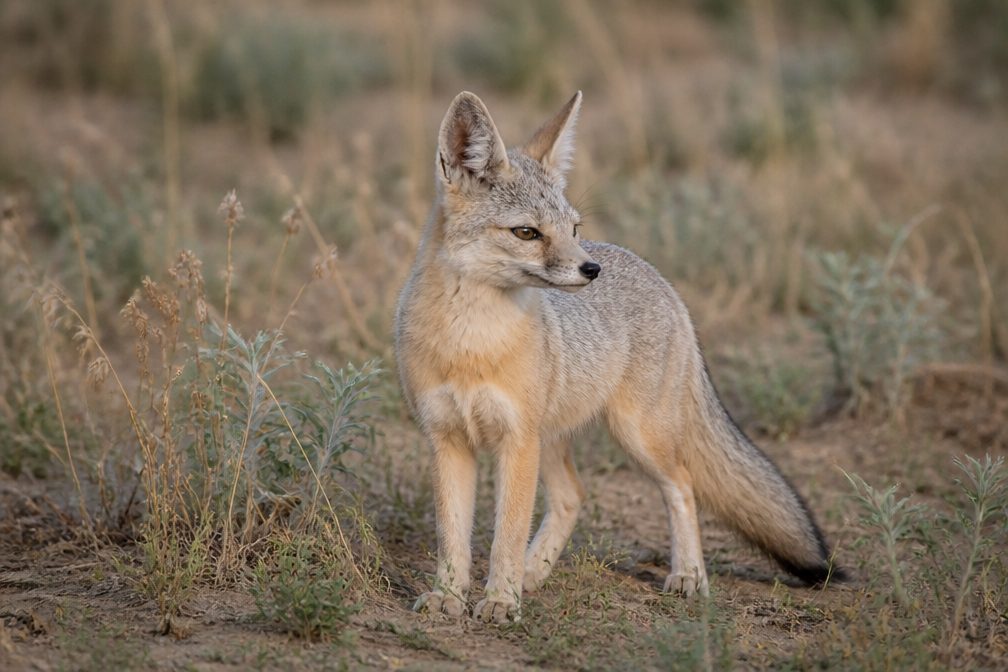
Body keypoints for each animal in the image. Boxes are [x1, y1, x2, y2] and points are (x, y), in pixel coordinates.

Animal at [394, 90, 842, 624]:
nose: (591, 269)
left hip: (635, 436)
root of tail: (657, 276)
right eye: (527, 233)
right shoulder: (447, 440)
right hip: (554, 440)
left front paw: (500, 600)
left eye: (572, 228)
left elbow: (506, 534)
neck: (470, 345)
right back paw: (534, 573)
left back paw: (688, 575)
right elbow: (452, 536)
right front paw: (449, 595)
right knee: (573, 496)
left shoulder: (515, 441)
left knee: (682, 485)